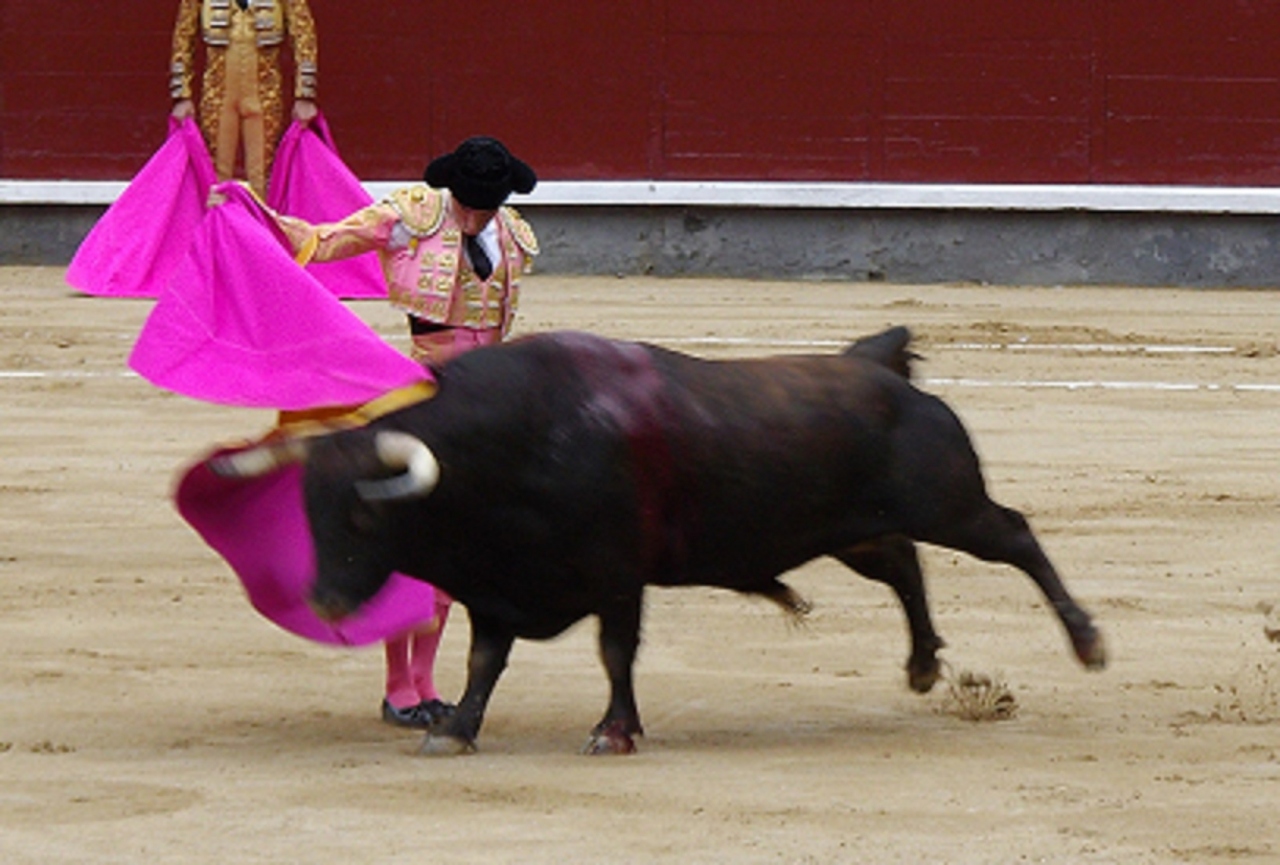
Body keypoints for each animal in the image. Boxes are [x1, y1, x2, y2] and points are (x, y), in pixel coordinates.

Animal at [215, 327, 1105, 752]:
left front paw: (613, 731)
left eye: (367, 515)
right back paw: (922, 666)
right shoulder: (497, 587)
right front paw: (455, 729)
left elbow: (615, 651)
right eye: (306, 510)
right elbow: (483, 661)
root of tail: (880, 366)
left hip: (949, 503)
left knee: (1015, 536)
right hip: (852, 529)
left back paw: (1088, 640)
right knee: (903, 566)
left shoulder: (616, 574)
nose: (327, 600)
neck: (515, 442)